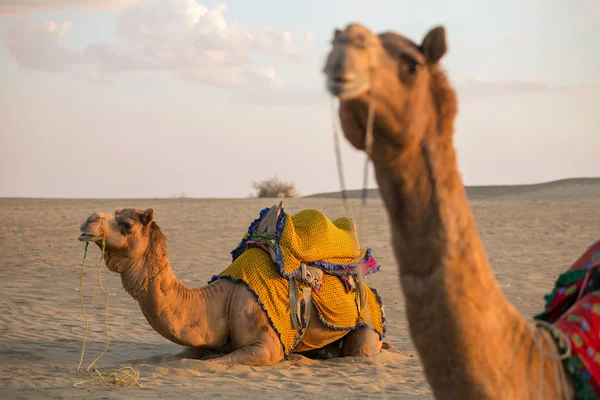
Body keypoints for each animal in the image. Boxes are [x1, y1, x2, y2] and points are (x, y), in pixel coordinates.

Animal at [77, 205, 384, 364]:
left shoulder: (267, 345)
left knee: (361, 351)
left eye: (127, 224)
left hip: (368, 324)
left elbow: (217, 364)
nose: (88, 220)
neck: (222, 301)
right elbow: (178, 358)